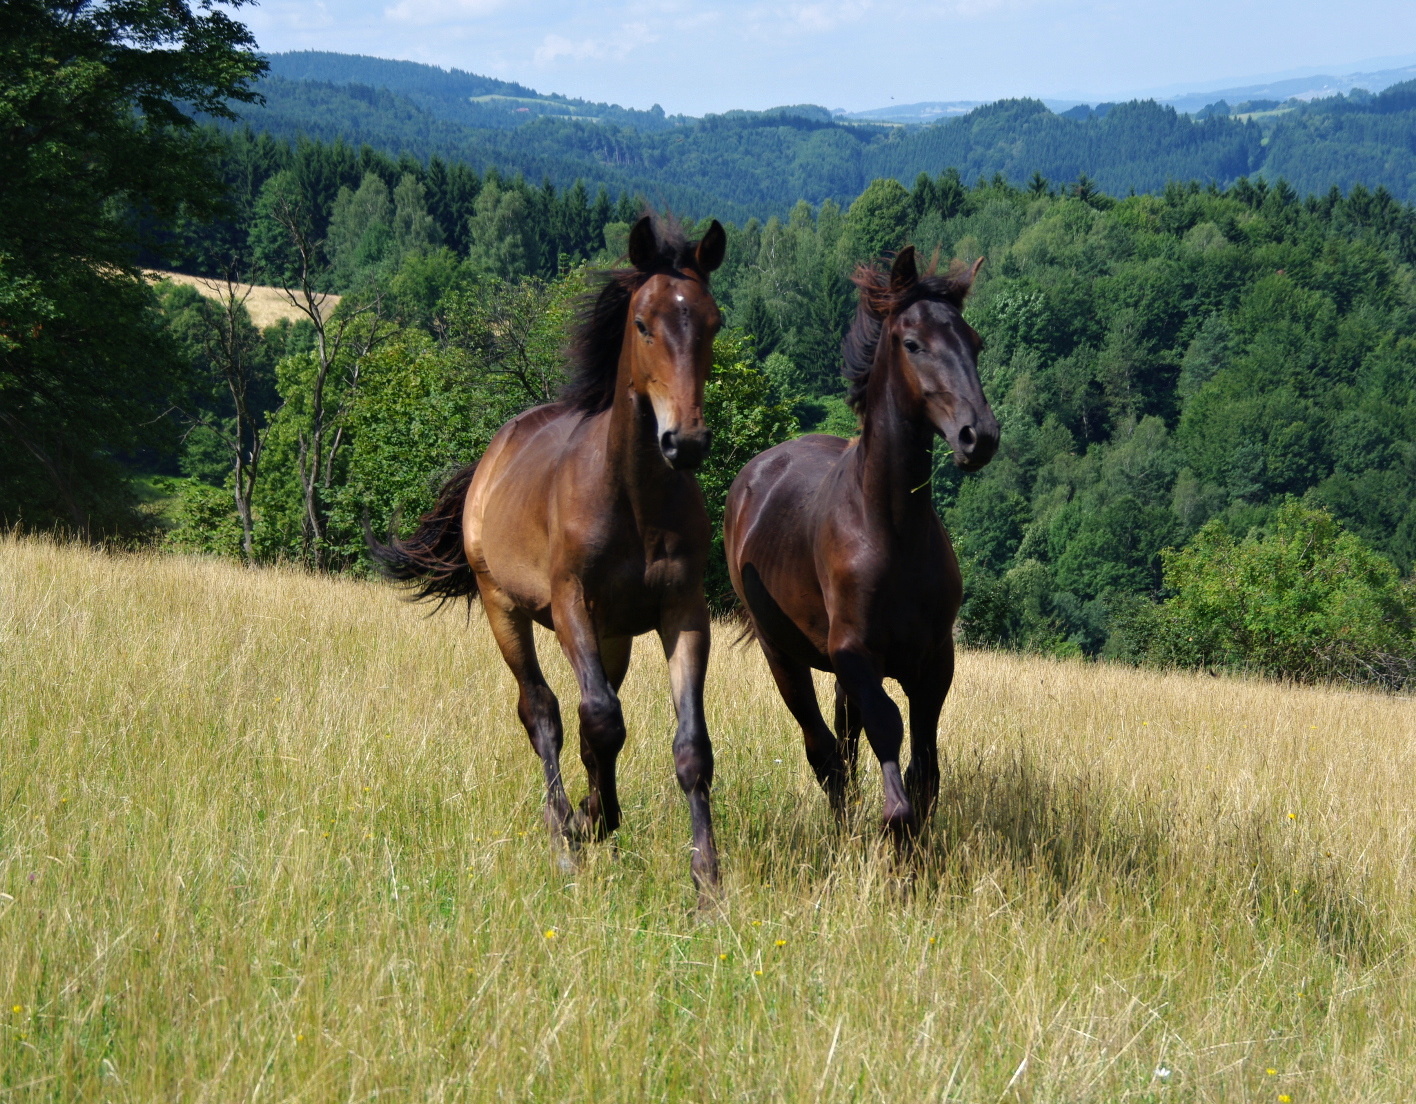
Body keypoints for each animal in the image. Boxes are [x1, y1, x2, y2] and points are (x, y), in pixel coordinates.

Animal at [370, 217, 724, 905]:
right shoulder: (570, 605)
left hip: (615, 638)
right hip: (504, 610)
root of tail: (493, 454)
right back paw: (563, 830)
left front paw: (707, 883)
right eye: (642, 323)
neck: (633, 498)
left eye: (713, 322)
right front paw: (588, 825)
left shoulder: (682, 612)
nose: (685, 441)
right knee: (543, 712)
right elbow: (600, 720)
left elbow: (688, 745)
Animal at [724, 246, 1002, 843]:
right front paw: (894, 830)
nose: (979, 437)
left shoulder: (934, 660)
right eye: (913, 343)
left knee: (843, 744)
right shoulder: (856, 654)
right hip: (783, 655)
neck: (892, 531)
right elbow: (887, 734)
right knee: (824, 750)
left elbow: (925, 768)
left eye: (975, 342)